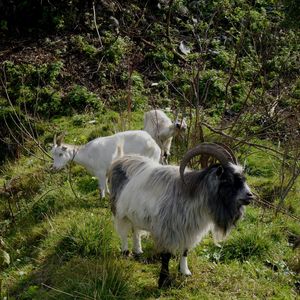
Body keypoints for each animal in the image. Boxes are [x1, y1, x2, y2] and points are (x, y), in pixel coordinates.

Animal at [109, 144, 254, 288]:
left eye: (243, 178)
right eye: (227, 179)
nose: (250, 196)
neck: (193, 195)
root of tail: (122, 159)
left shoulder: (188, 229)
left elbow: (185, 250)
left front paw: (184, 271)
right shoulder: (167, 230)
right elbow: (166, 256)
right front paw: (163, 281)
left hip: (135, 214)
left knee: (136, 230)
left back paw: (138, 250)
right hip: (119, 211)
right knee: (123, 233)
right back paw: (125, 252)